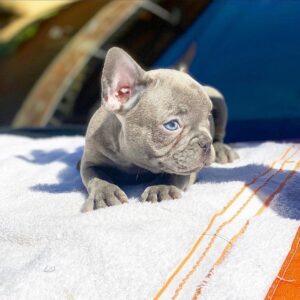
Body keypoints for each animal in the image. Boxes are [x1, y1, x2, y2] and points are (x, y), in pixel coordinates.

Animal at [79, 47, 239, 212]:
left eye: (208, 117)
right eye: (172, 125)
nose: (206, 143)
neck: (133, 162)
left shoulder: (185, 168)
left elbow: (172, 174)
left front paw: (161, 188)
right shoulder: (91, 161)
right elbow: (96, 178)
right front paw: (104, 194)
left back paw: (221, 150)